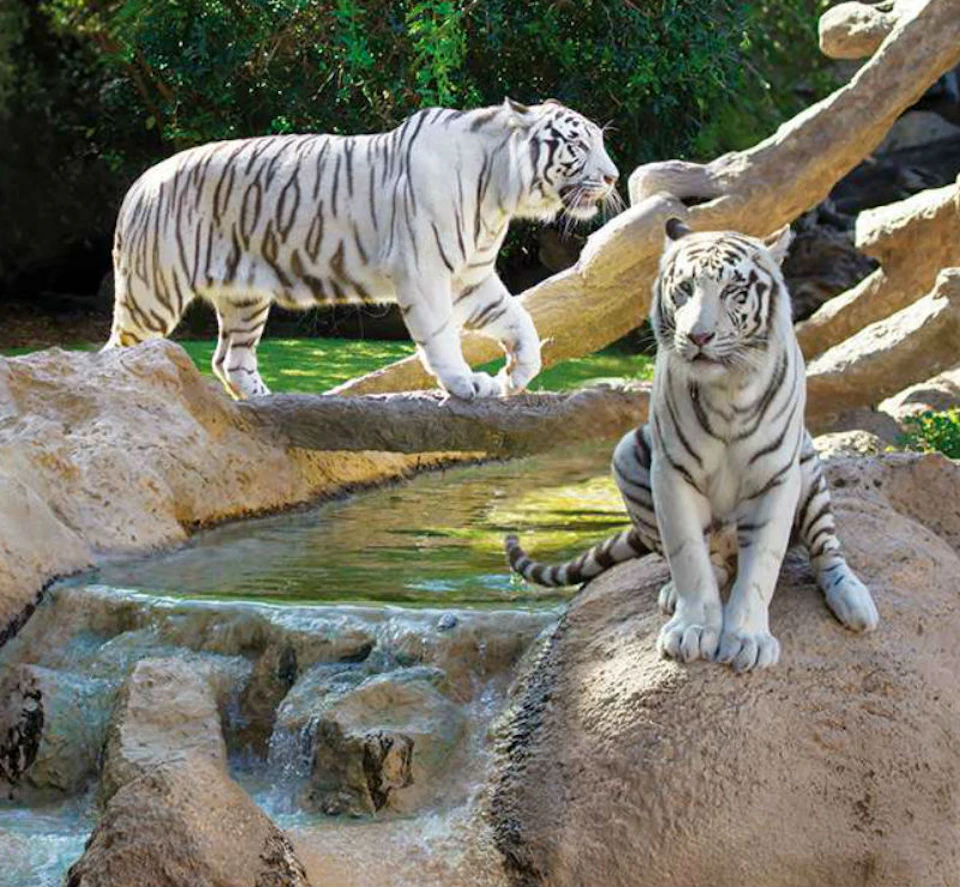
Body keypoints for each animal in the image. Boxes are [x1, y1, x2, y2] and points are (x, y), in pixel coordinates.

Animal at [103, 99, 619, 401]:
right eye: (577, 143)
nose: (614, 177)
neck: (501, 191)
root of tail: (140, 183)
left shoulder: (470, 277)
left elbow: (520, 320)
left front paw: (513, 376)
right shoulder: (425, 274)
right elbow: (441, 337)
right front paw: (467, 383)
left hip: (244, 297)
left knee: (228, 359)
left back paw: (267, 400)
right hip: (154, 293)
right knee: (116, 352)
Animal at [506, 219, 879, 672]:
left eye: (734, 290)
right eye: (684, 288)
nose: (698, 336)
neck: (728, 390)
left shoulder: (776, 476)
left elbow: (762, 566)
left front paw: (747, 640)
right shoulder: (671, 472)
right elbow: (687, 556)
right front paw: (693, 630)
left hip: (808, 467)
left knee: (826, 549)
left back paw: (854, 601)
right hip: (627, 453)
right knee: (709, 557)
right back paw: (678, 590)